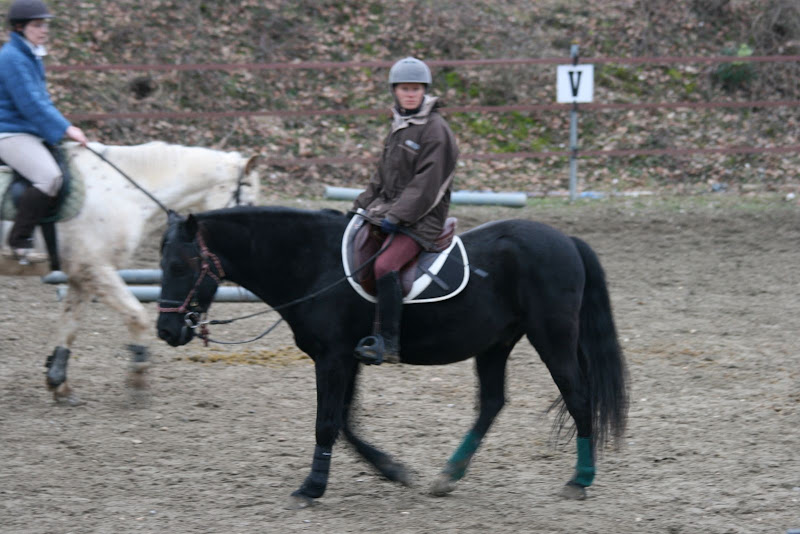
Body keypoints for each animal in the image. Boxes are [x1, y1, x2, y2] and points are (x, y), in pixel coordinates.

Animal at [0, 140, 260, 404]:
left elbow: (69, 325)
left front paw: (58, 384)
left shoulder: (82, 274)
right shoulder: (96, 269)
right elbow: (138, 316)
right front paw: (138, 375)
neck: (124, 193)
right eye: (247, 205)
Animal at [156, 207, 628, 508]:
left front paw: (311, 488)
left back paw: (579, 480)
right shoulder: (344, 359)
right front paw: (392, 470)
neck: (314, 264)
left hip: (552, 338)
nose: (166, 331)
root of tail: (566, 240)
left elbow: (327, 423)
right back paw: (448, 476)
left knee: (578, 397)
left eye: (180, 266)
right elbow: (344, 422)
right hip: (495, 345)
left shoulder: (333, 358)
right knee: (492, 403)